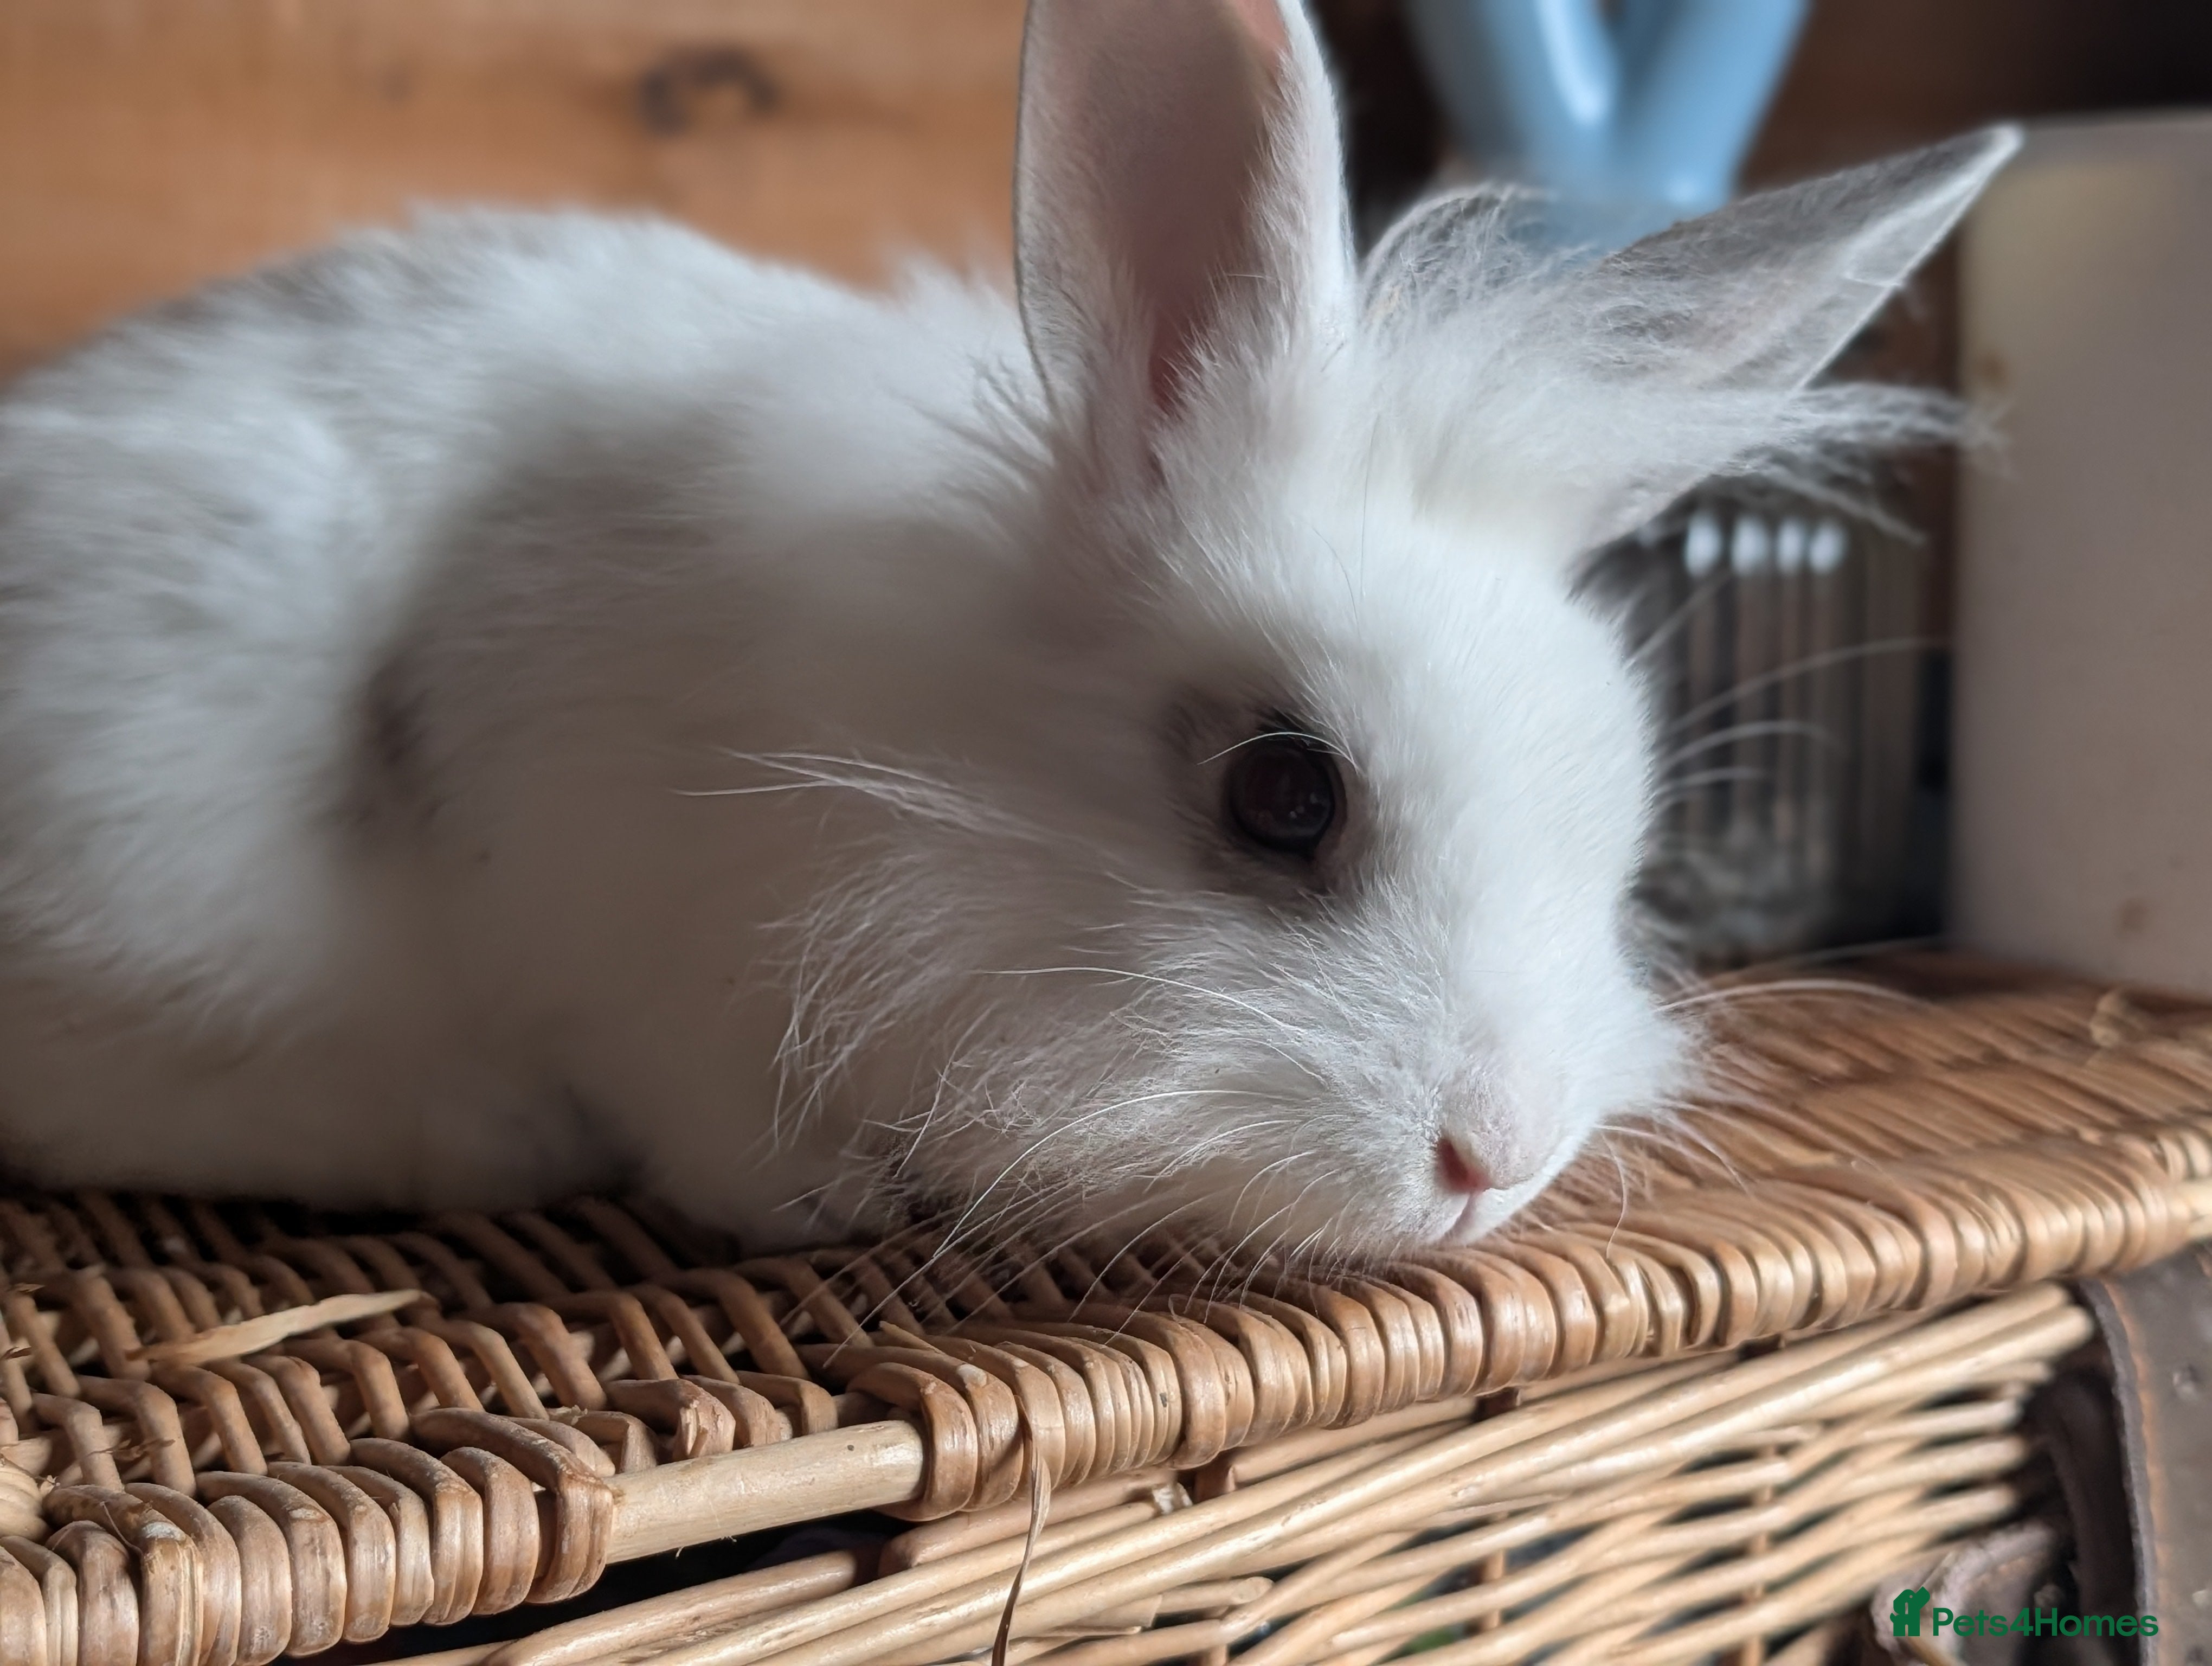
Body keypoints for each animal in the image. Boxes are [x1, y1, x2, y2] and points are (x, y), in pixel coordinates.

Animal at [0, 0, 2014, 1259]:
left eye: (1624, 821)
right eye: (1284, 794)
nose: (1492, 1163)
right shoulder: (583, 880)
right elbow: (679, 1092)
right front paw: (817, 1198)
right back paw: (481, 1131)